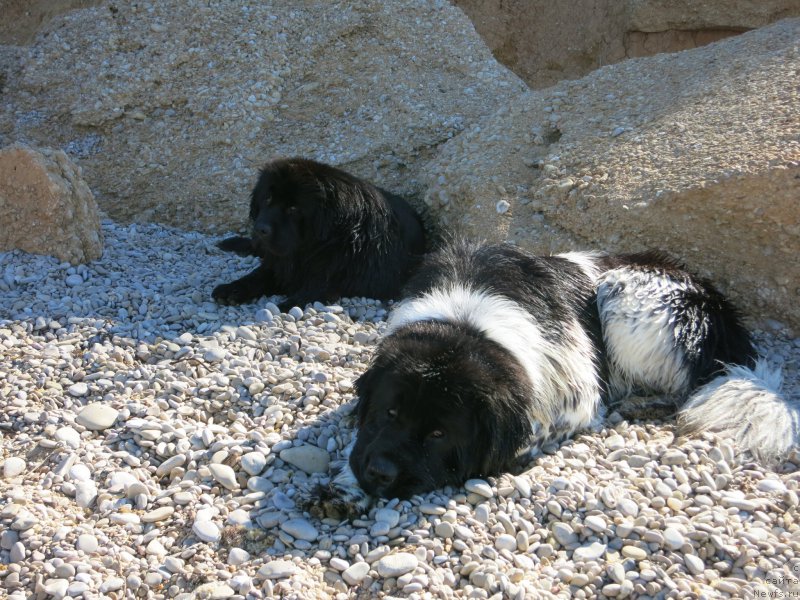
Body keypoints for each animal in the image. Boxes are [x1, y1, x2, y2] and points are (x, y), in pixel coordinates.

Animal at [318, 239, 792, 516]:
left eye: (438, 434)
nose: (379, 474)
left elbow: (528, 432)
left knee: (681, 385)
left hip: (625, 292)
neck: (465, 321)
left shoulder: (575, 397)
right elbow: (359, 439)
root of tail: (725, 318)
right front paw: (347, 486)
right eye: (389, 413)